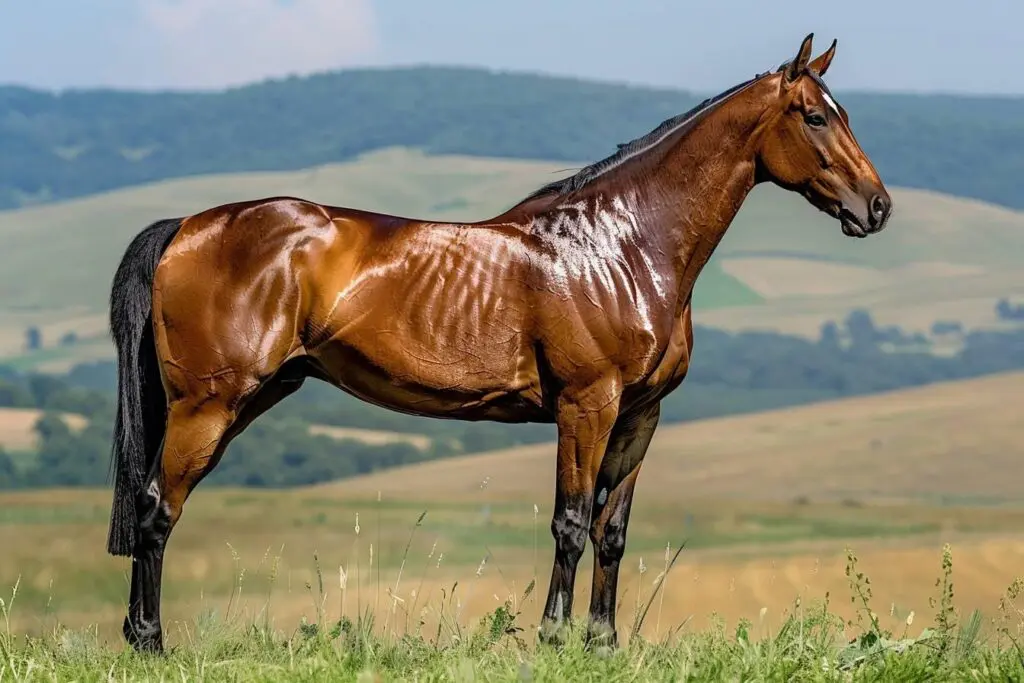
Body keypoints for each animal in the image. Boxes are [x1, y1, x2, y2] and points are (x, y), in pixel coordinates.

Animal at [103, 34, 888, 655]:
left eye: (847, 113)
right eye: (816, 115)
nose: (876, 207)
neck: (624, 246)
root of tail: (186, 226)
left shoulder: (641, 416)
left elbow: (612, 531)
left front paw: (603, 644)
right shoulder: (586, 406)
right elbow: (571, 521)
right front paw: (554, 637)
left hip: (250, 396)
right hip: (209, 404)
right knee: (156, 507)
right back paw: (151, 642)